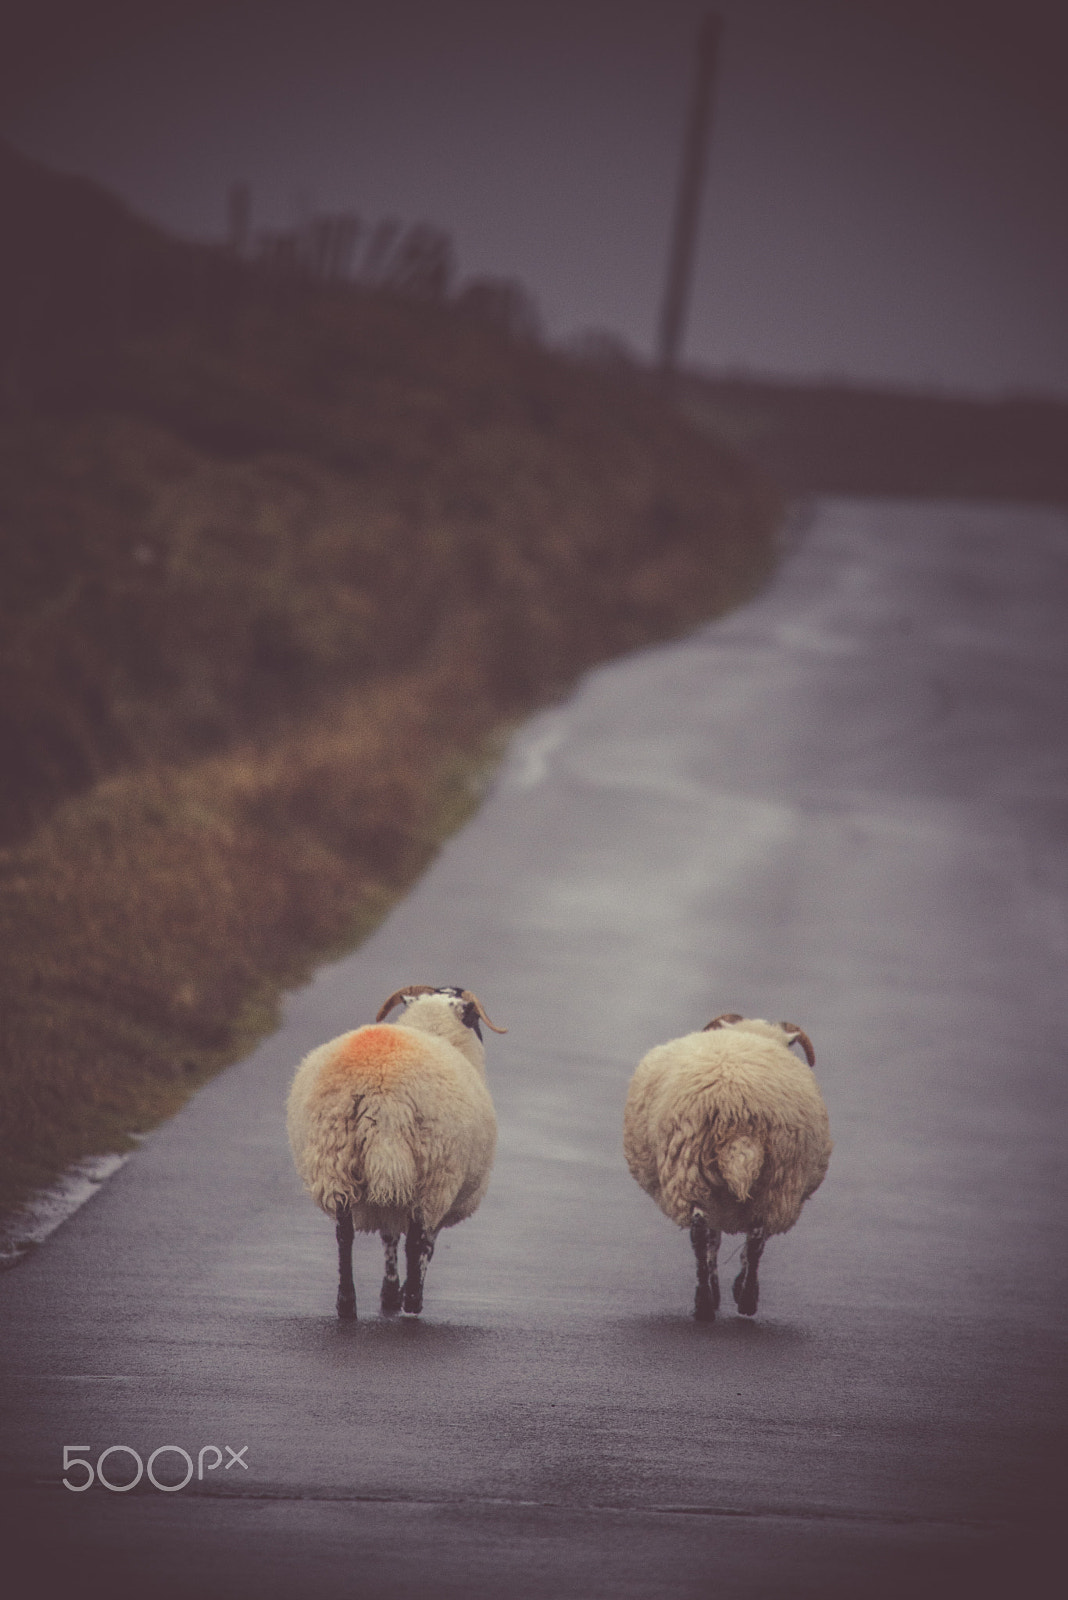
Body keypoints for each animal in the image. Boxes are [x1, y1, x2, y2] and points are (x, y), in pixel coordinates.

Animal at [287, 979, 505, 1318]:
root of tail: (382, 1091)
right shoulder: (442, 1194)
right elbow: (425, 1245)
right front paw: (402, 1294)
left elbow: (388, 1238)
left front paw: (389, 1295)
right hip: (433, 1168)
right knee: (416, 1238)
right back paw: (412, 1300)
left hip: (336, 1160)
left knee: (344, 1234)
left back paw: (346, 1303)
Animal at [620, 1011, 831, 1324]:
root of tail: (737, 1104)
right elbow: (718, 1241)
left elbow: (715, 1241)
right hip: (767, 1179)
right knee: (745, 1238)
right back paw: (736, 1300)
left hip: (700, 1172)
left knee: (712, 1236)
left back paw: (716, 1302)